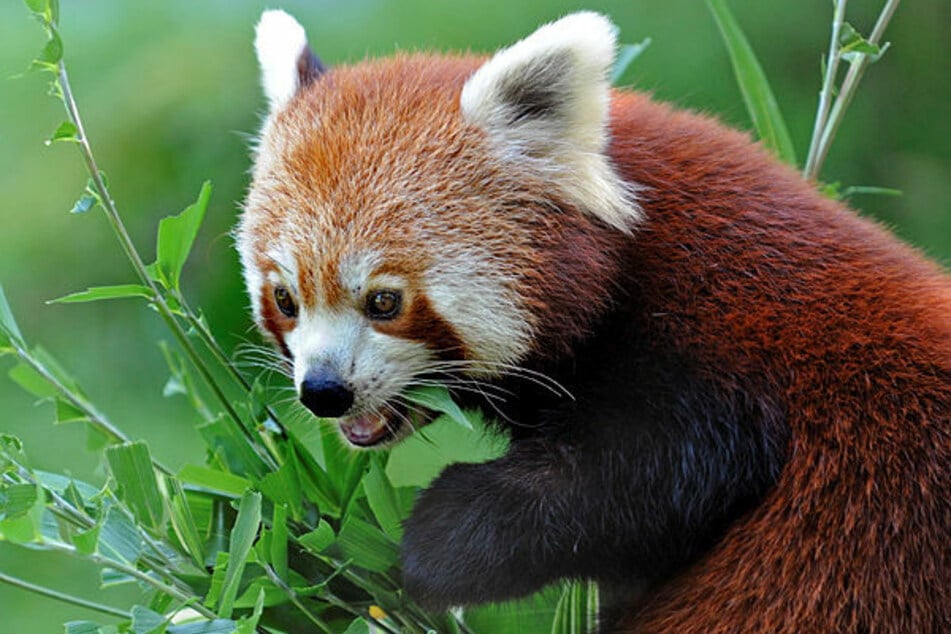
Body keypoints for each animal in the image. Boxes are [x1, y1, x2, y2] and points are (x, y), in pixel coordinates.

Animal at [238, 9, 951, 632]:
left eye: (384, 301)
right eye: (286, 299)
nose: (324, 391)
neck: (626, 273)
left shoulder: (721, 352)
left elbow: (654, 472)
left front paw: (445, 539)